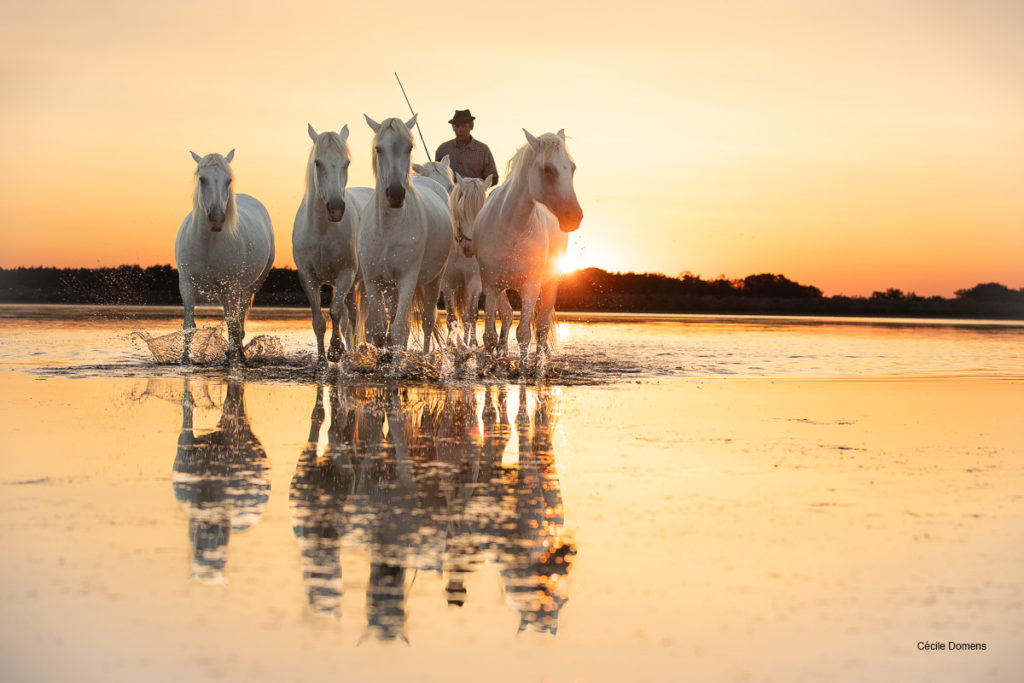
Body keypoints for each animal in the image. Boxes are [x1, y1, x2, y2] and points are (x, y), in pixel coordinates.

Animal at [175, 150, 276, 362]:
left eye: (228, 180)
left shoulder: (232, 286)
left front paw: (237, 357)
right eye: (202, 179)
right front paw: (185, 360)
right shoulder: (186, 284)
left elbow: (234, 324)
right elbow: (189, 325)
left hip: (249, 286)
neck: (208, 244)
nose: (216, 219)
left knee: (239, 315)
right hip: (222, 291)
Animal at [292, 124, 372, 366]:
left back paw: (352, 352)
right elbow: (318, 321)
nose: (336, 208)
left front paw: (336, 350)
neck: (322, 231)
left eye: (347, 163)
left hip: (359, 283)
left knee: (353, 318)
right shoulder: (308, 278)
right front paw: (321, 361)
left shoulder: (345, 275)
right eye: (318, 163)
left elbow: (335, 312)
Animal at [362, 115, 454, 352]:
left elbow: (397, 329)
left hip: (434, 280)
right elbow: (379, 329)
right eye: (378, 148)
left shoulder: (407, 279)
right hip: (391, 286)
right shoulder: (373, 280)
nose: (395, 194)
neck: (387, 230)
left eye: (409, 147)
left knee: (428, 319)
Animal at [438, 175, 489, 348]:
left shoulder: (474, 283)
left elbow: (469, 315)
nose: (470, 248)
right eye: (461, 211)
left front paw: (470, 343)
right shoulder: (448, 283)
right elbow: (451, 317)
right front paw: (451, 343)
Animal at [473, 129, 585, 362]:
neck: (512, 228)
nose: (574, 217)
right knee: (507, 316)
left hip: (549, 285)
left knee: (542, 327)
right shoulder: (491, 286)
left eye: (572, 167)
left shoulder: (530, 287)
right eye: (547, 169)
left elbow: (524, 334)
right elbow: (489, 335)